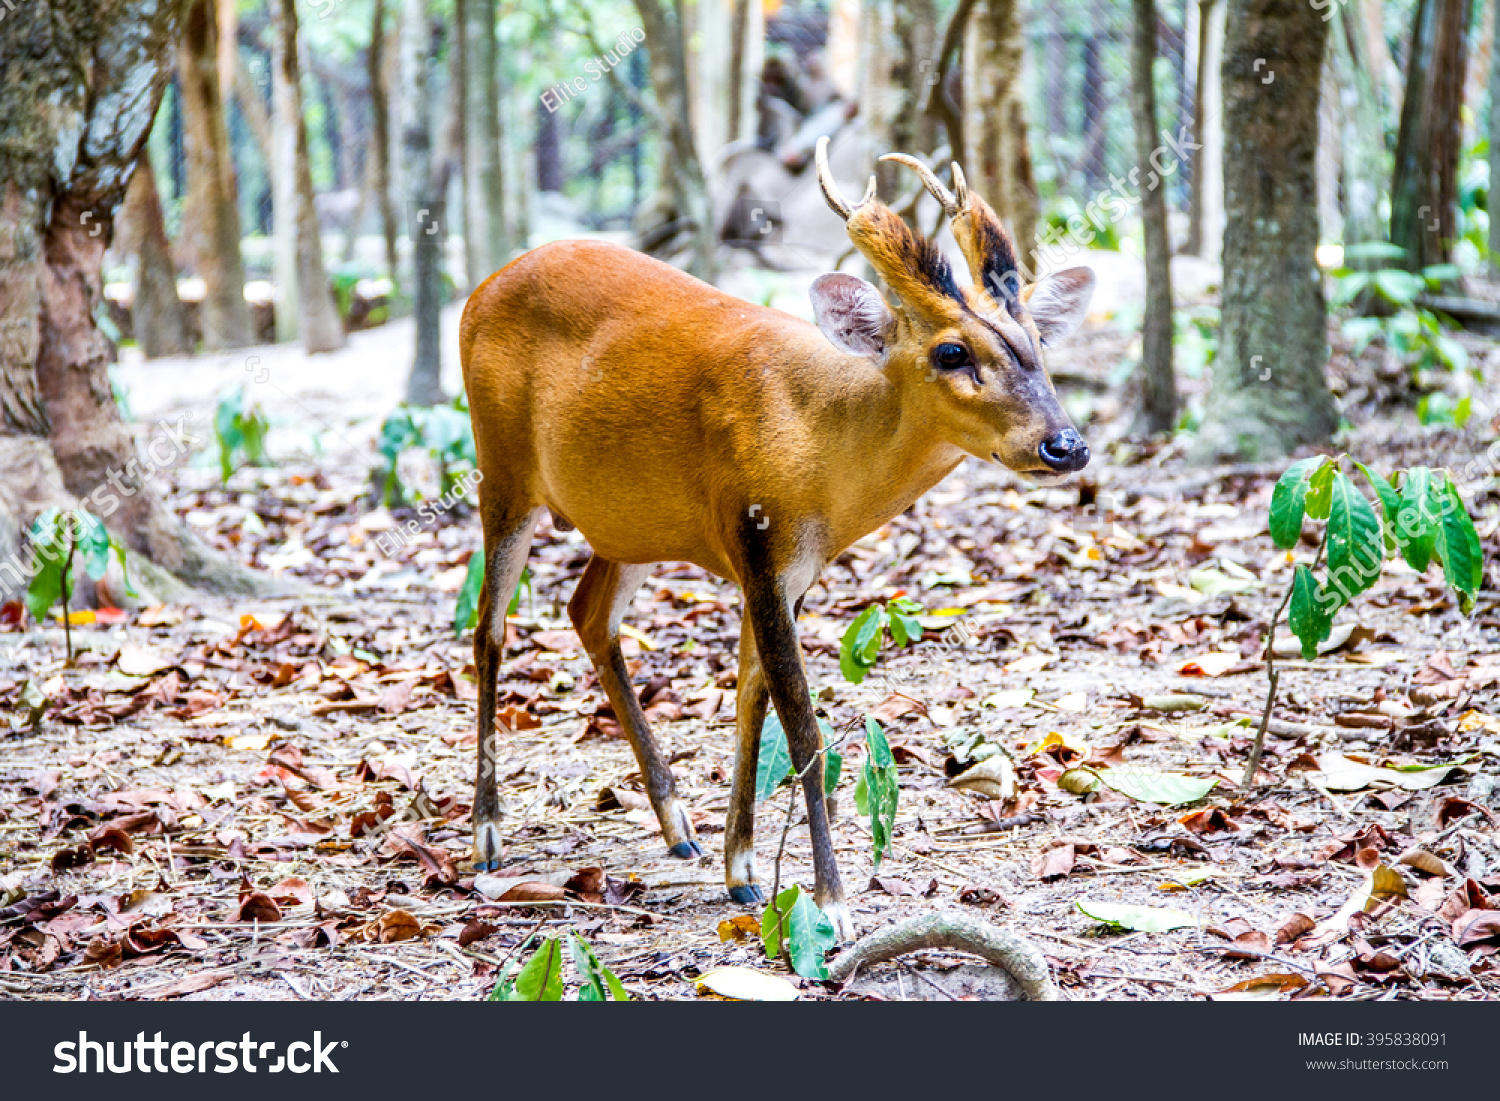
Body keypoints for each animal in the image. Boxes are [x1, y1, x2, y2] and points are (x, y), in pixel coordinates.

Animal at [456, 138, 1092, 942]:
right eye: (951, 353)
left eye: (1037, 341)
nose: (1065, 445)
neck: (819, 445)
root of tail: (480, 290)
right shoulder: (756, 540)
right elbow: (803, 730)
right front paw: (832, 902)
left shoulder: (787, 570)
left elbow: (749, 704)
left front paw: (743, 872)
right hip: (501, 464)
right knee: (489, 628)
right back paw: (486, 835)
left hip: (625, 520)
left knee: (587, 612)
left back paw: (678, 826)